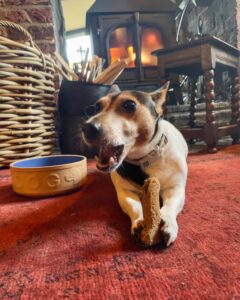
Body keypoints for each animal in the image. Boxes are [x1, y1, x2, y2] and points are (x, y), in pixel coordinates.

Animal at [83, 82, 188, 246]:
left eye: (130, 105)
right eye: (96, 108)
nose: (87, 127)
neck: (144, 159)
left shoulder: (175, 188)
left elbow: (170, 205)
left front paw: (167, 222)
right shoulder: (125, 192)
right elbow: (134, 205)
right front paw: (139, 221)